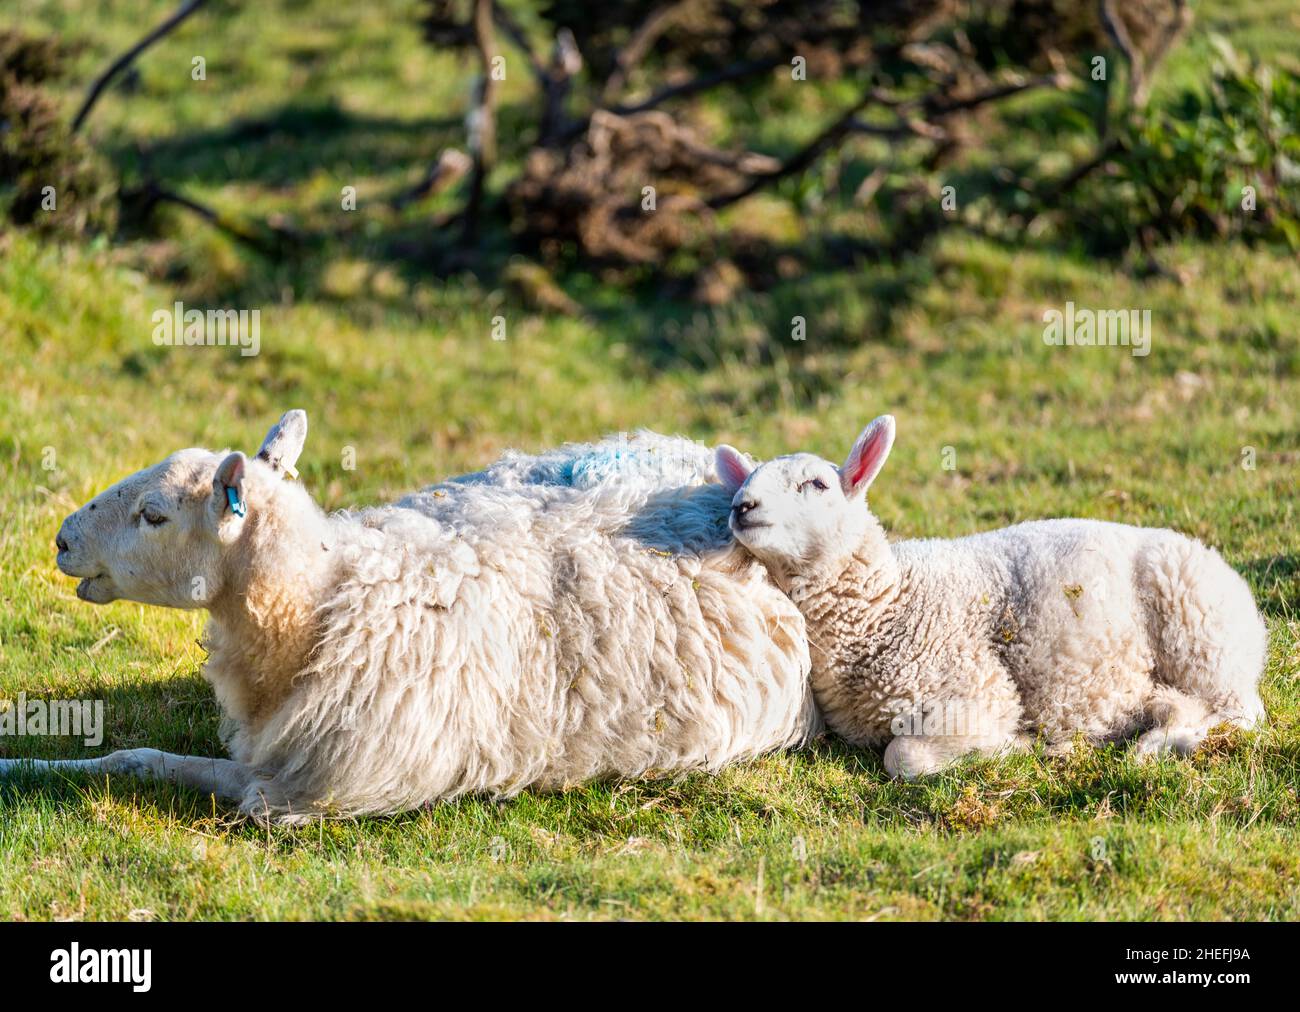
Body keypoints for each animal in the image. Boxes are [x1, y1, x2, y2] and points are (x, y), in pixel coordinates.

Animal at [7, 411, 821, 822]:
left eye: (154, 515)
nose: (63, 540)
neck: (322, 603)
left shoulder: (312, 790)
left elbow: (159, 767)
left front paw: (24, 768)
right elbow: (133, 757)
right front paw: (28, 764)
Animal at [717, 413, 1263, 775]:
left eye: (817, 484)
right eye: (744, 483)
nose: (743, 506)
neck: (887, 605)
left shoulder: (978, 690)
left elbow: (904, 756)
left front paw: (1011, 745)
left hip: (1202, 640)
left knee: (1241, 713)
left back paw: (1162, 744)